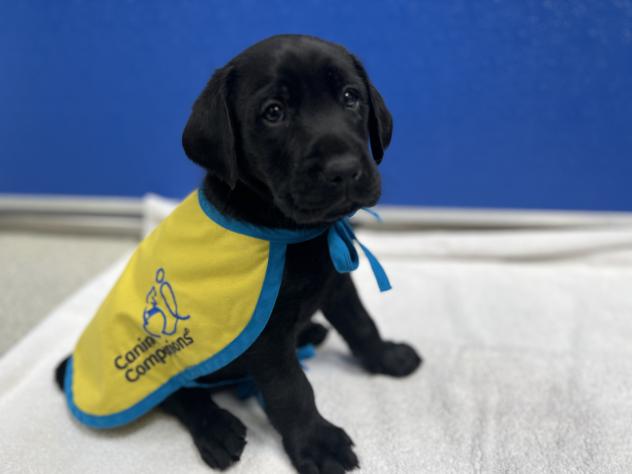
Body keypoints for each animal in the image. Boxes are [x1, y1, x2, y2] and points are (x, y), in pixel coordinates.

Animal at [56, 34, 420, 474]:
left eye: (351, 97)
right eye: (274, 112)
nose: (345, 169)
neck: (291, 230)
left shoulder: (336, 284)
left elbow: (361, 324)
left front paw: (386, 357)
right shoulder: (264, 337)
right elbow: (292, 389)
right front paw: (318, 444)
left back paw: (310, 333)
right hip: (159, 357)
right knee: (179, 394)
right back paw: (216, 428)